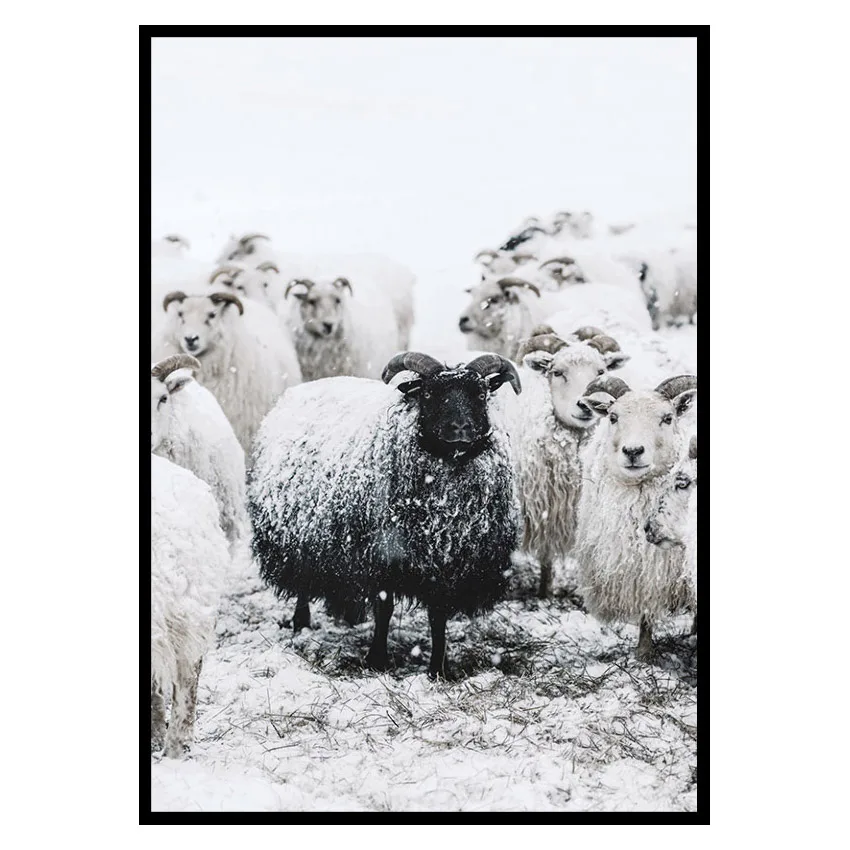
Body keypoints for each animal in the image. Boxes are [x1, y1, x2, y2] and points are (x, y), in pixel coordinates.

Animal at [248, 351, 523, 679]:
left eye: (480, 394)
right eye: (428, 394)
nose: (461, 429)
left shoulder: (447, 565)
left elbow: (438, 616)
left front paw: (438, 669)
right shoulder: (380, 556)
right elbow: (384, 609)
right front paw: (376, 659)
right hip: (299, 538)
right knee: (303, 582)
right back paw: (301, 624)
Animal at [494, 326, 630, 598]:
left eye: (601, 372)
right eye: (557, 372)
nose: (584, 406)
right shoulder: (542, 507)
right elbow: (545, 555)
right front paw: (543, 592)